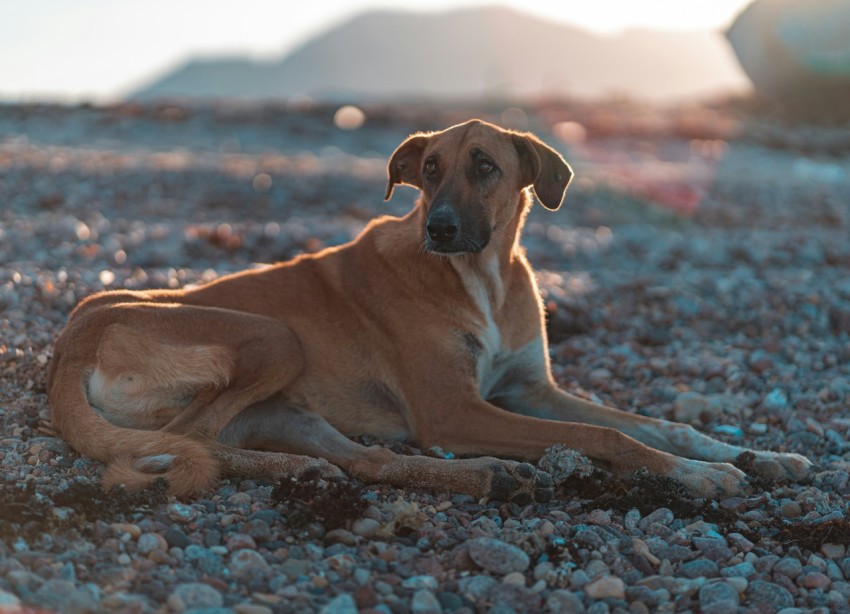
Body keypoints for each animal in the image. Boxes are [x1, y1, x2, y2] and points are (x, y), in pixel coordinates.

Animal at [44, 121, 808, 506]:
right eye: (430, 170)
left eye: (485, 166)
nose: (439, 228)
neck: (483, 278)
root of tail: (69, 344)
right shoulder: (453, 410)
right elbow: (609, 436)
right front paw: (696, 476)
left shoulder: (532, 389)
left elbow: (657, 424)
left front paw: (754, 454)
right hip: (273, 337)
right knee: (186, 441)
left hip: (289, 408)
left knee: (365, 462)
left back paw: (464, 476)